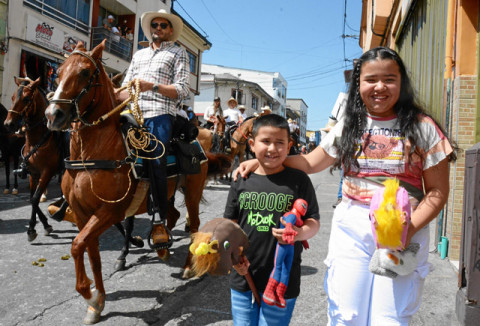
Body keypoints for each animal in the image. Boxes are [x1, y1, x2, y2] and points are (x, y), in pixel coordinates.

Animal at [3, 78, 64, 242]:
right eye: (12, 97)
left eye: (26, 99)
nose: (8, 124)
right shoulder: (33, 173)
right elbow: (32, 198)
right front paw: (42, 225)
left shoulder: (47, 172)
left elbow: (35, 198)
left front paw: (32, 229)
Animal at [43, 42, 216, 324]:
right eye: (57, 72)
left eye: (84, 72)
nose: (53, 115)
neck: (93, 154)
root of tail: (199, 133)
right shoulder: (82, 214)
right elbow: (91, 253)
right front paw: (98, 302)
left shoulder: (110, 211)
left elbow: (77, 245)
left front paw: (89, 294)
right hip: (168, 191)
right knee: (172, 214)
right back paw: (161, 245)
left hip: (191, 190)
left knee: (194, 224)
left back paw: (188, 267)